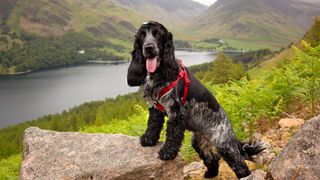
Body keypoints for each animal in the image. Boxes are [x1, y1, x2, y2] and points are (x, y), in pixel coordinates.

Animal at [126, 21, 264, 179]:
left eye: (157, 34)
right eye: (142, 35)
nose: (148, 48)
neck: (159, 74)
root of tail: (230, 128)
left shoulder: (176, 112)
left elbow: (172, 135)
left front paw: (167, 153)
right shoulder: (155, 108)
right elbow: (152, 125)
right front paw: (148, 140)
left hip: (224, 144)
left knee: (240, 165)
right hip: (198, 142)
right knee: (212, 158)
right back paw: (210, 174)